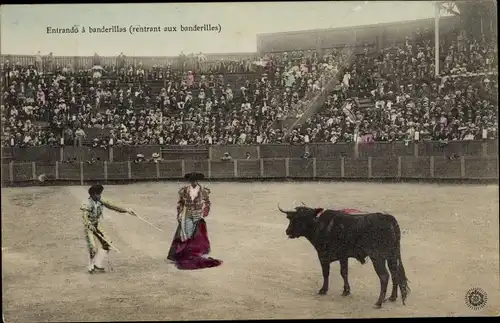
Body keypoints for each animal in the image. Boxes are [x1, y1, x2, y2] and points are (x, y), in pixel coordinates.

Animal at [278, 204, 410, 310]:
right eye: (293, 218)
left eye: (303, 217)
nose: (287, 231)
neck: (320, 226)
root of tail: (389, 219)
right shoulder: (343, 256)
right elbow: (344, 272)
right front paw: (346, 291)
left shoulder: (323, 255)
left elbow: (326, 273)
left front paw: (323, 290)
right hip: (392, 256)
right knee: (394, 273)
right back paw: (392, 297)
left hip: (377, 257)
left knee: (384, 276)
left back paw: (378, 302)